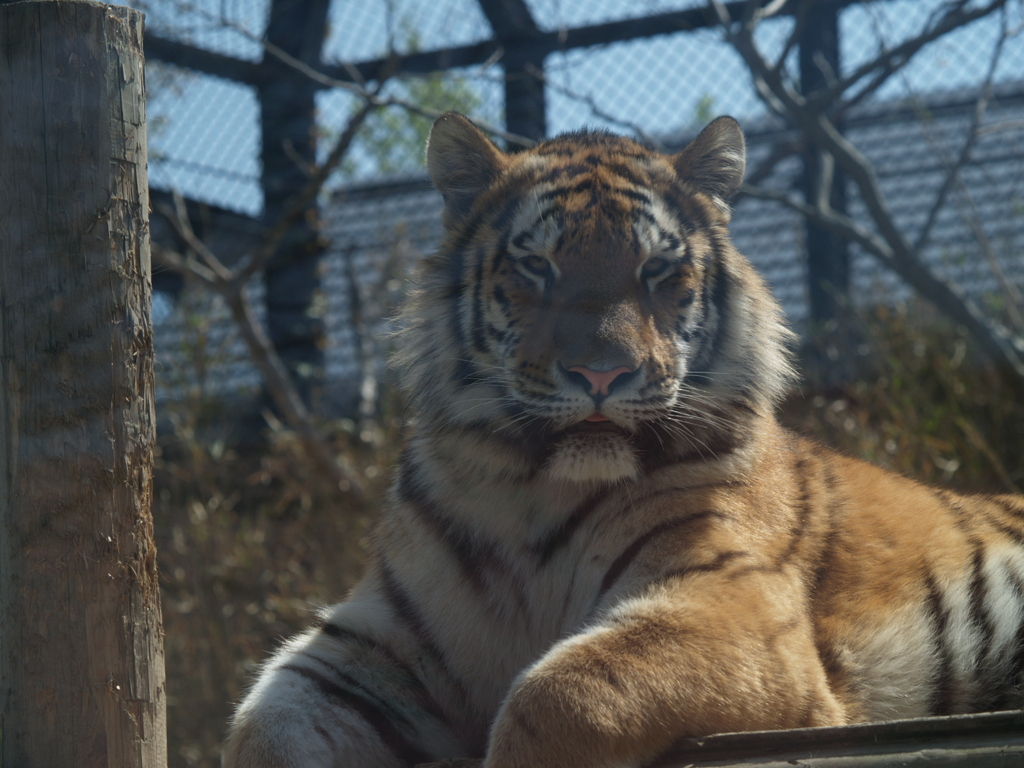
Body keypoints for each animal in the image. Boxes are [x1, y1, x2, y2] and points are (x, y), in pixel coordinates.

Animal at [222, 112, 1024, 768]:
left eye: (657, 270)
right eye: (536, 266)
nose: (601, 373)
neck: (527, 493)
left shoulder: (732, 602)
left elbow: (563, 691)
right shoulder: (377, 641)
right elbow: (258, 727)